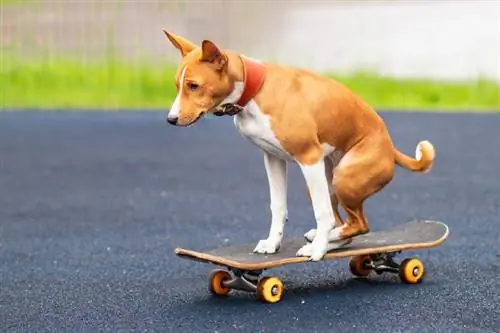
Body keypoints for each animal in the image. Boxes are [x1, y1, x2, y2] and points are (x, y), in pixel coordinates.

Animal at [162, 29, 436, 260]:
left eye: (193, 86)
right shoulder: (272, 158)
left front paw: (317, 250)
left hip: (342, 178)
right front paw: (273, 244)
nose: (171, 119)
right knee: (346, 224)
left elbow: (321, 213)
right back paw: (324, 240)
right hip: (327, 181)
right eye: (177, 85)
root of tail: (390, 148)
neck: (257, 91)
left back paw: (321, 243)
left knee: (356, 224)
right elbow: (278, 207)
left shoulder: (308, 157)